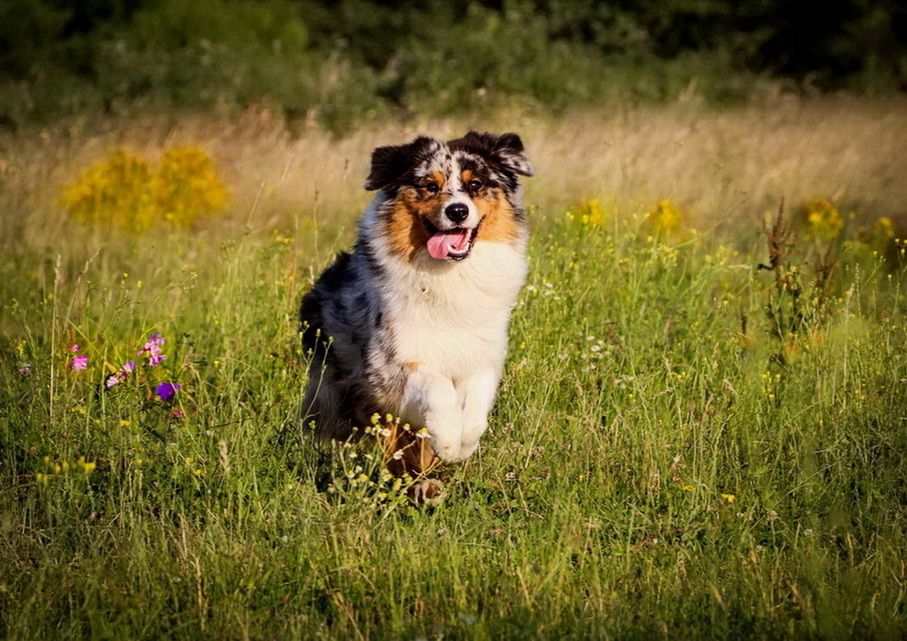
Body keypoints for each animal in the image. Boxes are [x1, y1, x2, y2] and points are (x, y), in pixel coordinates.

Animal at [302, 130, 536, 470]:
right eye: (429, 186)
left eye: (475, 185)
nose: (457, 211)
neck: (450, 276)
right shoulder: (389, 366)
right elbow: (437, 386)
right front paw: (448, 438)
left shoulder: (483, 354)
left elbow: (478, 400)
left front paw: (463, 443)